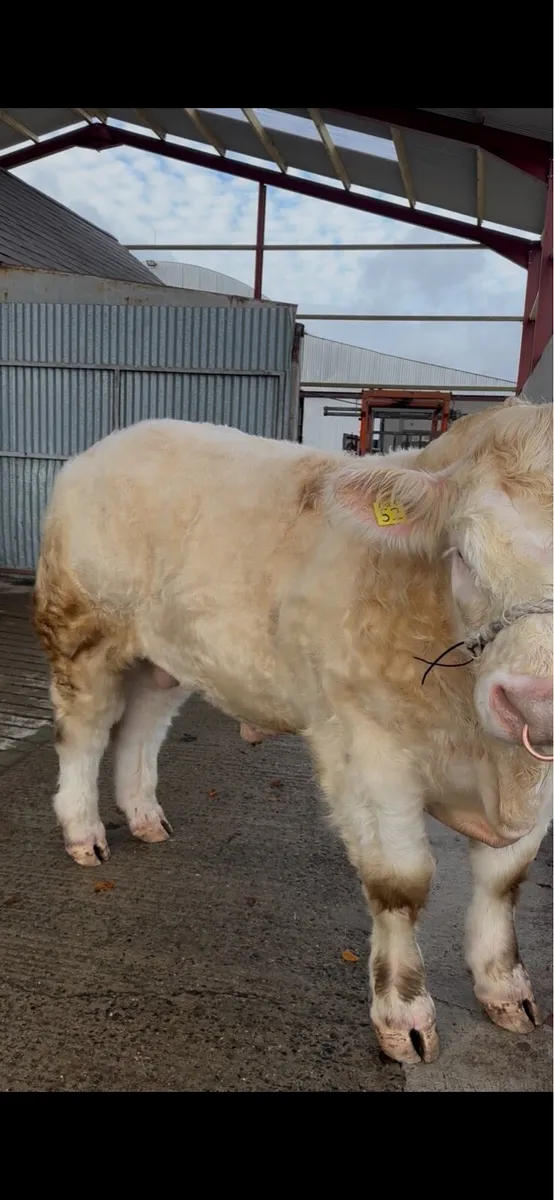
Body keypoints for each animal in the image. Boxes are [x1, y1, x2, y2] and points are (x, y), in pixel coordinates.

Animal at [32, 396, 553, 1065]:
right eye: (462, 553)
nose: (534, 703)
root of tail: (111, 445)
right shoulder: (365, 746)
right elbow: (401, 884)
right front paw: (404, 1017)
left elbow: (505, 879)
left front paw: (506, 990)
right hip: (82, 632)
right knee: (85, 733)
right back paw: (84, 832)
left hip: (168, 655)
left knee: (142, 729)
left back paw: (146, 817)